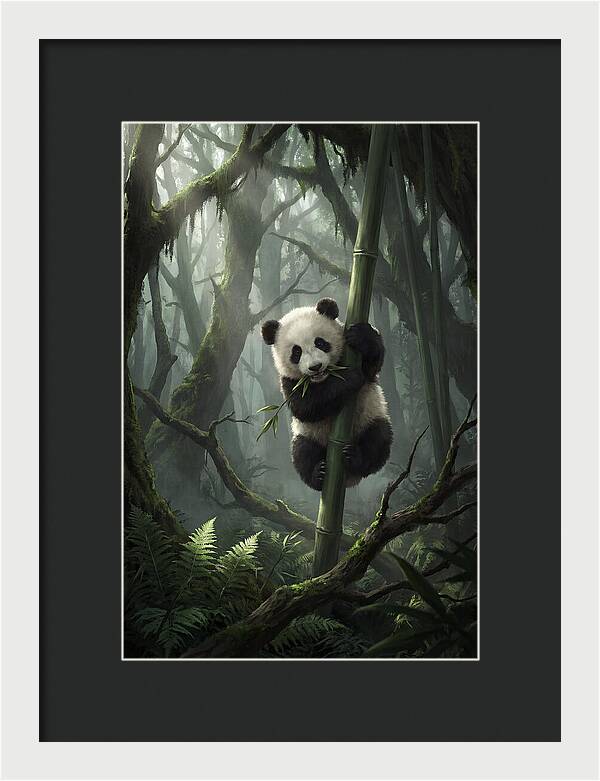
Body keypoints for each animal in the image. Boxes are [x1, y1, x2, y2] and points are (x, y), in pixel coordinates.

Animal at [261, 297, 393, 491]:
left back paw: (355, 458)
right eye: (296, 352)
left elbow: (372, 365)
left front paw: (361, 336)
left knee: (378, 439)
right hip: (308, 434)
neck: (324, 378)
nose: (315, 367)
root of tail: (349, 479)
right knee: (302, 452)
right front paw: (350, 377)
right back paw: (318, 474)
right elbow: (305, 406)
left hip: (370, 417)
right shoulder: (289, 381)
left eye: (320, 343)